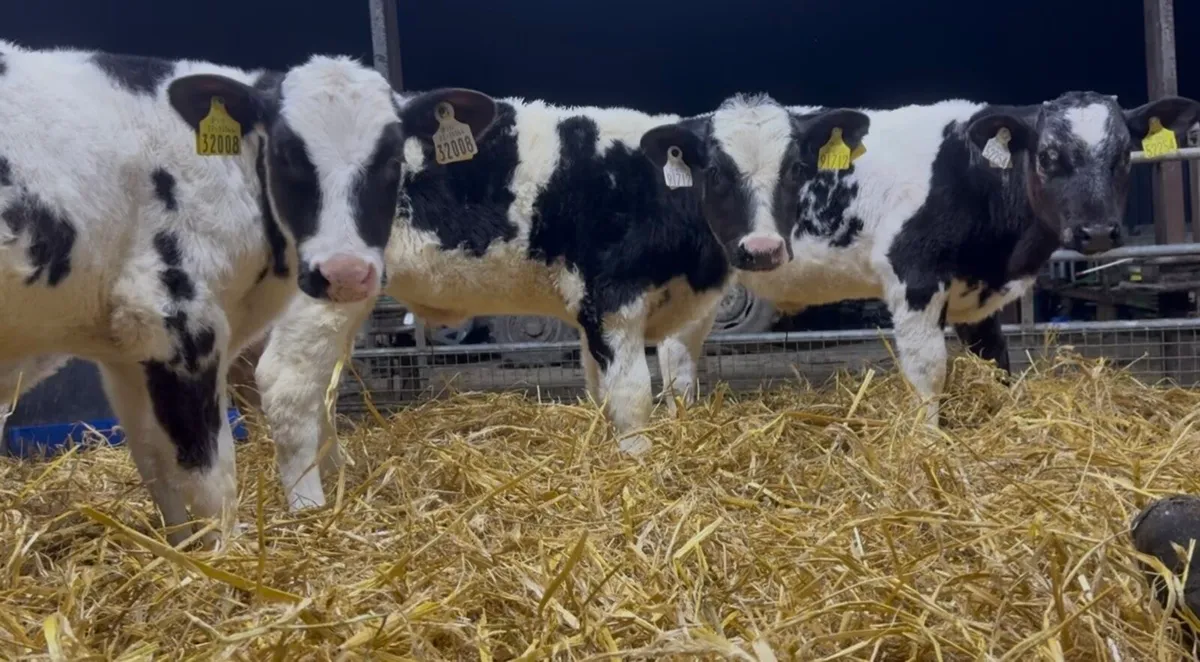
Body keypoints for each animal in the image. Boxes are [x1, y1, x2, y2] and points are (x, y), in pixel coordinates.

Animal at [0, 40, 498, 547]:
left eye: (393, 158)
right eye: (286, 154)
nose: (345, 273)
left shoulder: (125, 350)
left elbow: (155, 464)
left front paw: (181, 551)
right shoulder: (179, 322)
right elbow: (210, 474)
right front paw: (226, 553)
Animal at [250, 92, 871, 511]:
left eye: (796, 168)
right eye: (714, 170)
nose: (761, 249)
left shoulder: (671, 313)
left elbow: (649, 386)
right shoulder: (612, 299)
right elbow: (632, 395)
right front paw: (637, 465)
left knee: (323, 386)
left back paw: (336, 469)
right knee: (286, 382)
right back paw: (310, 506)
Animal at [678, 90, 1200, 425]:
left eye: (1123, 156)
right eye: (1048, 156)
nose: (1096, 232)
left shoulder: (978, 294)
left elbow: (997, 361)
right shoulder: (915, 277)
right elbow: (928, 371)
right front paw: (929, 444)